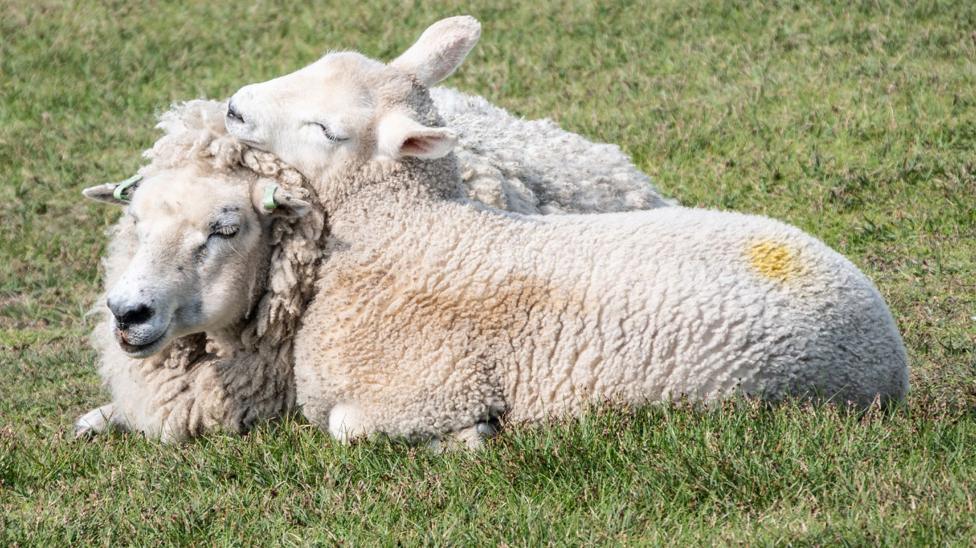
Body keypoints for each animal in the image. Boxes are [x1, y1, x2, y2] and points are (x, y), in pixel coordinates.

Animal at [224, 24, 910, 448]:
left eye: (327, 130)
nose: (234, 105)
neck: (412, 233)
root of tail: (891, 348)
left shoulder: (434, 386)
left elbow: (348, 427)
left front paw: (471, 439)